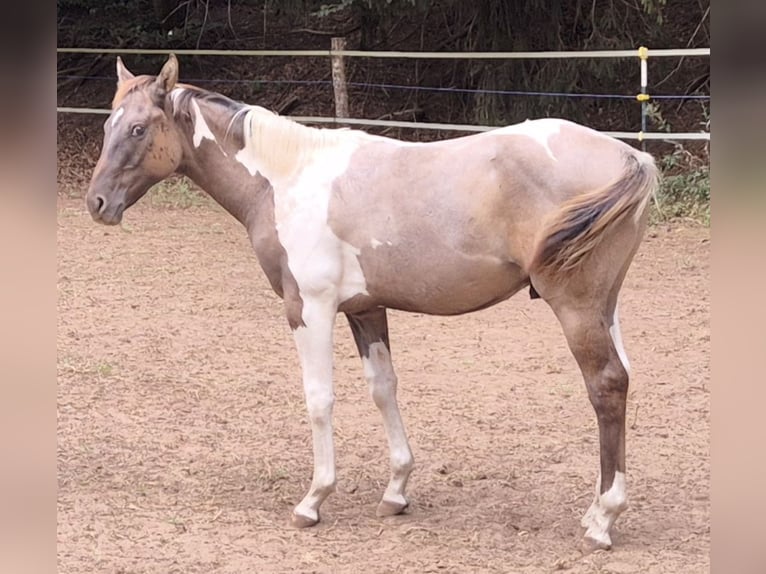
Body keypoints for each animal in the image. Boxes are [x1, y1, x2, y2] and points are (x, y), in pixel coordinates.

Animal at [85, 54, 658, 551]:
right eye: (110, 126)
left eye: (139, 129)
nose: (97, 203)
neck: (288, 180)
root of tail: (632, 155)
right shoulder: (365, 309)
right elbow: (384, 388)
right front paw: (396, 491)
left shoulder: (309, 309)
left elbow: (319, 398)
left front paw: (313, 500)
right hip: (606, 307)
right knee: (624, 379)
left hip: (577, 309)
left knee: (606, 385)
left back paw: (602, 520)